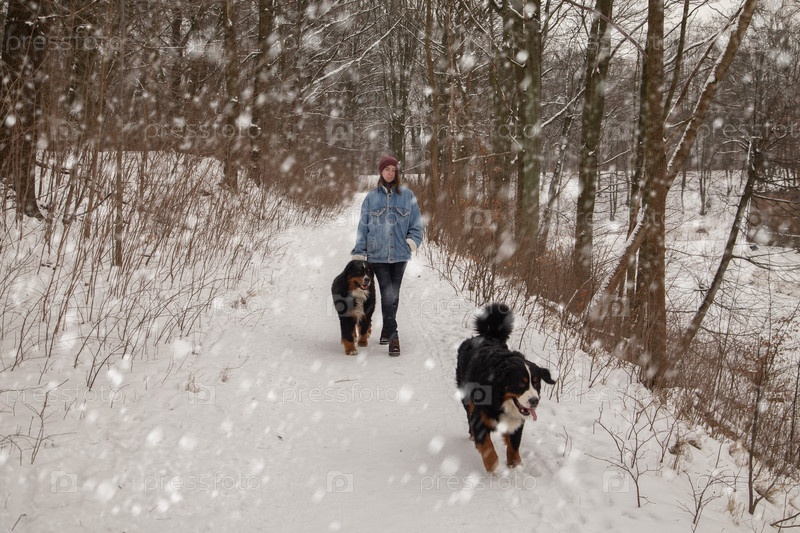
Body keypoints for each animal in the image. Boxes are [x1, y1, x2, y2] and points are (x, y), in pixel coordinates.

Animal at [456, 303, 555, 472]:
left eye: (536, 383)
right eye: (521, 383)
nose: (534, 401)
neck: (500, 399)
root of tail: (489, 336)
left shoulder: (517, 422)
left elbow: (514, 444)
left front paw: (516, 465)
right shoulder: (480, 417)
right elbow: (487, 446)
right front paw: (494, 468)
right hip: (466, 396)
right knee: (469, 415)